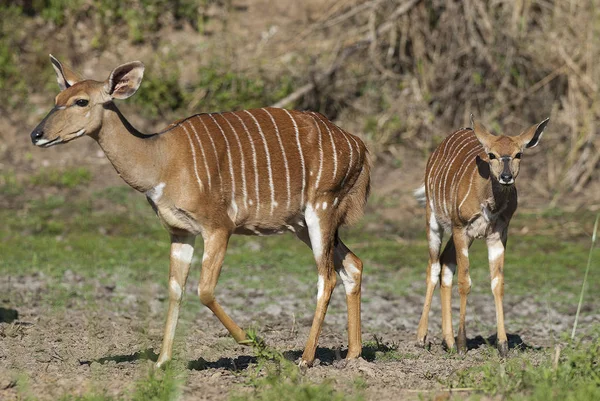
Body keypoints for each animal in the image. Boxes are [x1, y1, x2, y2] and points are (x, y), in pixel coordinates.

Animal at [32, 55, 372, 366]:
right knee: (352, 265)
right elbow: (175, 289)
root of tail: (358, 146)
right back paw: (353, 355)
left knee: (326, 277)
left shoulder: (218, 227)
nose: (36, 134)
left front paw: (253, 342)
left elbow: (204, 290)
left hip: (321, 208)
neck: (161, 159)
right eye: (56, 100)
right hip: (301, 224)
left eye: (81, 101)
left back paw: (305, 358)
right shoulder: (180, 232)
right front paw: (162, 363)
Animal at [418, 115, 548, 356]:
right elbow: (465, 282)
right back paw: (421, 338)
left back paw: (448, 341)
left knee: (445, 263)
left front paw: (503, 345)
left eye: (519, 154)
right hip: (434, 219)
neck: (489, 202)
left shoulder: (497, 234)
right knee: (433, 266)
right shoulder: (461, 228)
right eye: (492, 155)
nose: (506, 176)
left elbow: (498, 284)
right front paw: (462, 344)